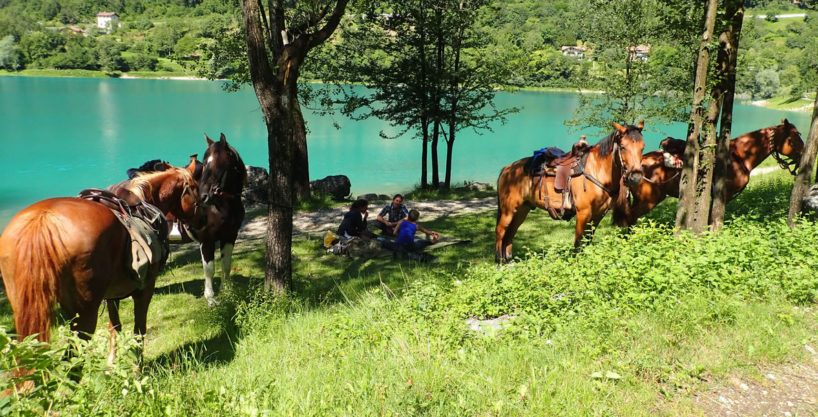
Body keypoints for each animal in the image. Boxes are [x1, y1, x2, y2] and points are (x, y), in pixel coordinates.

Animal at [0, 166, 202, 344]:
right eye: (195, 188)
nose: (201, 221)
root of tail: (42, 220)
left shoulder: (111, 295)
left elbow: (115, 328)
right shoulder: (145, 289)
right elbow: (139, 331)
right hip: (85, 312)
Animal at [184, 133, 245, 306]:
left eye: (221, 164)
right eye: (205, 163)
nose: (203, 197)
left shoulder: (230, 236)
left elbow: (226, 264)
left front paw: (227, 290)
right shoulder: (207, 240)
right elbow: (209, 269)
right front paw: (210, 297)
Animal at [494, 121, 640, 264]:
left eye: (642, 147)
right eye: (623, 147)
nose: (636, 177)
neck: (597, 170)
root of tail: (507, 169)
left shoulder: (598, 214)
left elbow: (588, 238)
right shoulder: (583, 213)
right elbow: (579, 241)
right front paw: (577, 262)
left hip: (522, 209)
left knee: (511, 232)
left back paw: (509, 260)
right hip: (509, 210)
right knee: (500, 231)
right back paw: (500, 261)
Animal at [612, 118, 804, 226]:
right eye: (793, 138)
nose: (803, 155)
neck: (740, 156)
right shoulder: (724, 194)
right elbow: (715, 218)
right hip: (649, 200)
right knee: (628, 219)